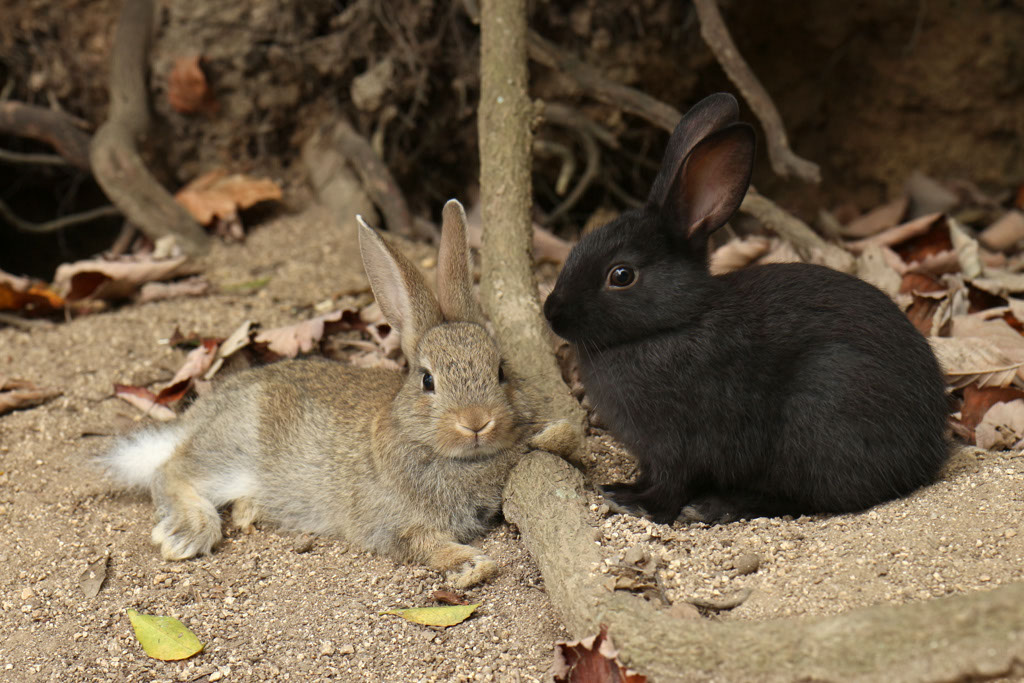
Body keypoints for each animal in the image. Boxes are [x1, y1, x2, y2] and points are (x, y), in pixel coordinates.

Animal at [102, 200, 575, 588]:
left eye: (500, 370)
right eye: (427, 380)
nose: (476, 422)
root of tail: (197, 419)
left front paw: (557, 433)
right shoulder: (387, 520)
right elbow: (419, 541)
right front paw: (471, 564)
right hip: (233, 450)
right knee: (171, 470)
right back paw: (188, 532)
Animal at [543, 93, 950, 525]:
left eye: (621, 275)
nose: (552, 312)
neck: (676, 321)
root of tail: (928, 449)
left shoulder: (680, 443)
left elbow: (671, 483)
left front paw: (633, 502)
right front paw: (626, 490)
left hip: (823, 416)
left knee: (806, 496)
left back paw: (716, 506)